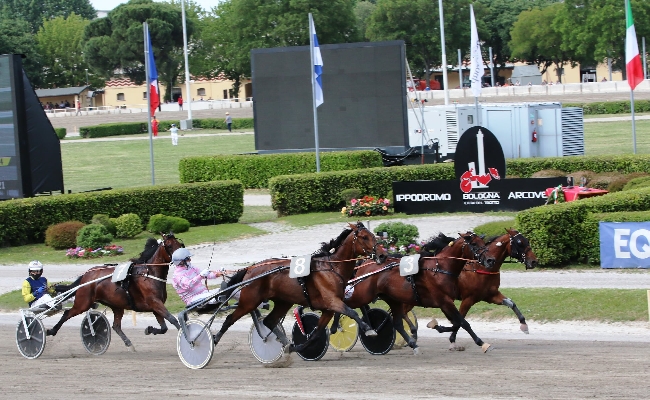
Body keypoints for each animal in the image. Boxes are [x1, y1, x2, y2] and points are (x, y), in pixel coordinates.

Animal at [46, 234, 184, 350]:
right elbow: (172, 319)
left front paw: (149, 329)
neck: (148, 274)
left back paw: (129, 343)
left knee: (116, 326)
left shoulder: (156, 306)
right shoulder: (155, 303)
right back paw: (50, 331)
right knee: (67, 313)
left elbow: (164, 327)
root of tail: (87, 275)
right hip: (83, 302)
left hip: (117, 305)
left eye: (180, 244)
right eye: (169, 246)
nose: (183, 259)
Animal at [216, 222, 384, 354]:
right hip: (250, 301)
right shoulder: (332, 301)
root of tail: (251, 268)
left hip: (283, 302)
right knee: (230, 319)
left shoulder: (328, 309)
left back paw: (286, 343)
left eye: (373, 235)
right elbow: (352, 313)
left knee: (269, 321)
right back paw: (214, 339)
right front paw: (369, 329)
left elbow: (316, 333)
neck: (332, 268)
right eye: (364, 237)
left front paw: (297, 347)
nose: (382, 255)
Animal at [342, 231, 494, 354]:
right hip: (364, 293)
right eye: (474, 244)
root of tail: (363, 264)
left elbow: (456, 323)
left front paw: (436, 326)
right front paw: (482, 343)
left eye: (484, 243)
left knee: (396, 323)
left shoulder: (445, 303)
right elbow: (463, 322)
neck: (440, 268)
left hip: (391, 298)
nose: (490, 260)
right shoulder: (444, 301)